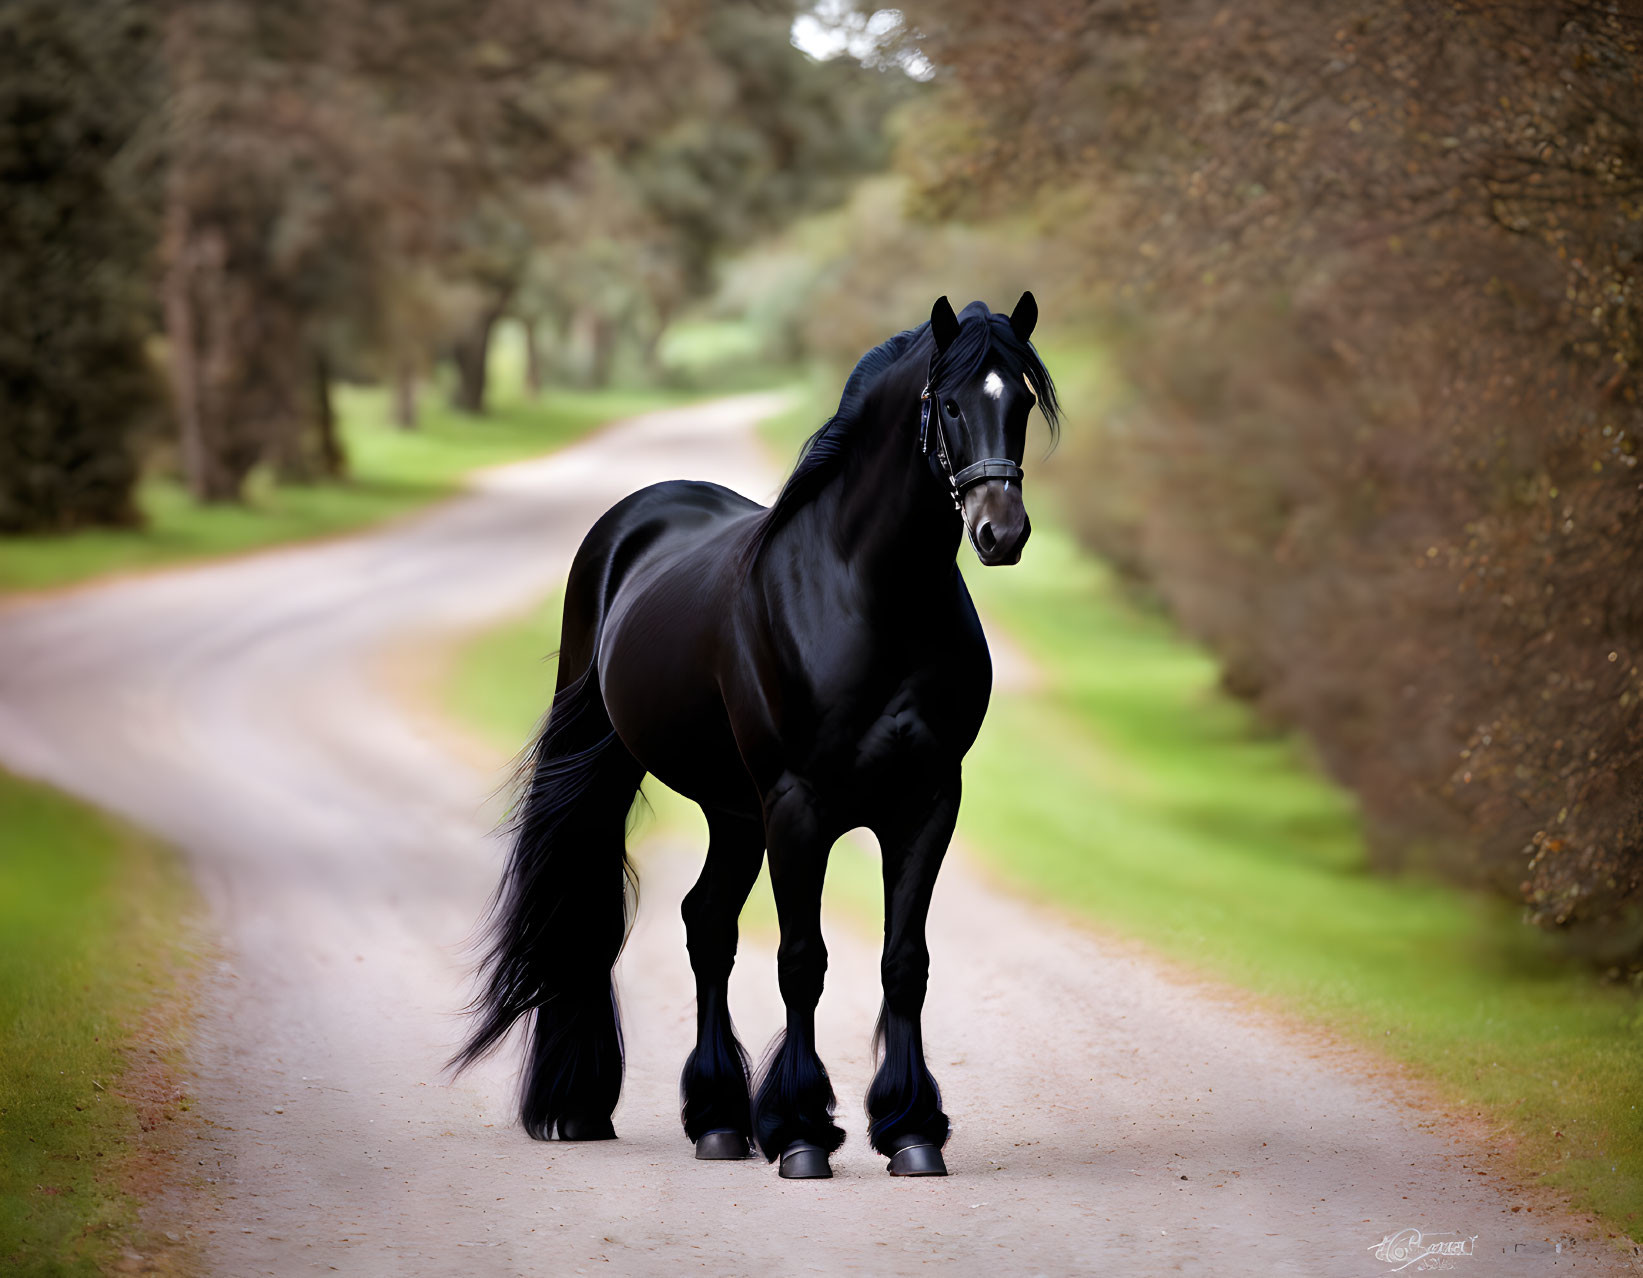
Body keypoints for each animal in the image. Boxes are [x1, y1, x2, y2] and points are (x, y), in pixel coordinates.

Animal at [456, 294, 1058, 1182]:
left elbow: (903, 963)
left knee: (706, 924)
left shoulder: (924, 803)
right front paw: (804, 1132)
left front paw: (910, 1131)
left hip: (734, 811)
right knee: (614, 910)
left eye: (1017, 401)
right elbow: (802, 961)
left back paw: (718, 1119)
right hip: (646, 778)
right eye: (947, 404)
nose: (1000, 532)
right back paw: (589, 1108)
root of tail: (638, 515)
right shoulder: (798, 807)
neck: (870, 596)